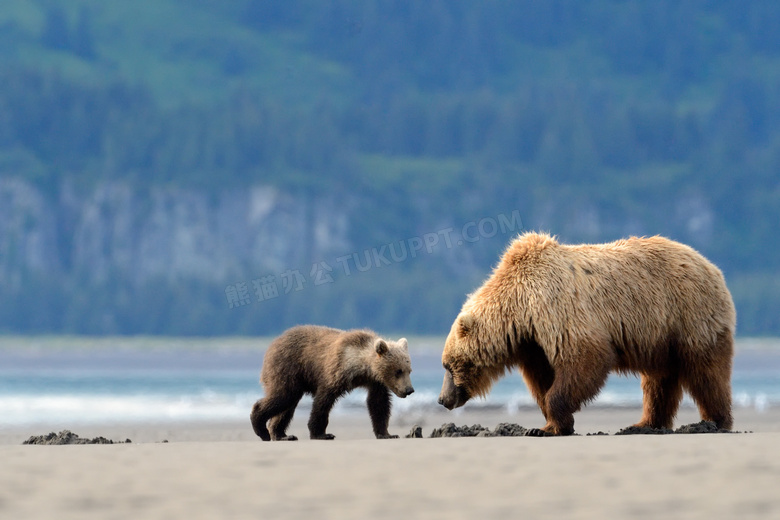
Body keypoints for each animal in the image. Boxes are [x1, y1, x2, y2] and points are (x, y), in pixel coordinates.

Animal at [438, 232, 736, 434]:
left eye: (448, 365)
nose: (442, 399)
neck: (520, 310)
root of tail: (713, 267)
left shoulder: (556, 309)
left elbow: (585, 358)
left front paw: (551, 424)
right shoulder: (533, 343)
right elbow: (542, 379)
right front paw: (547, 425)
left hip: (689, 315)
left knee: (706, 371)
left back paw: (715, 420)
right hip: (660, 337)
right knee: (659, 381)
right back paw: (645, 423)